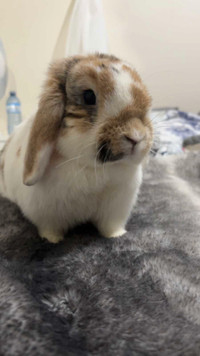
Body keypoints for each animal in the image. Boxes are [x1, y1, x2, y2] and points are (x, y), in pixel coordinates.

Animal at [0, 53, 153, 242]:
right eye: (88, 96)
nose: (136, 135)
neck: (93, 168)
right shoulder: (47, 217)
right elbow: (50, 230)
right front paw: (52, 241)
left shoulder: (115, 211)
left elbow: (110, 227)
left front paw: (117, 236)